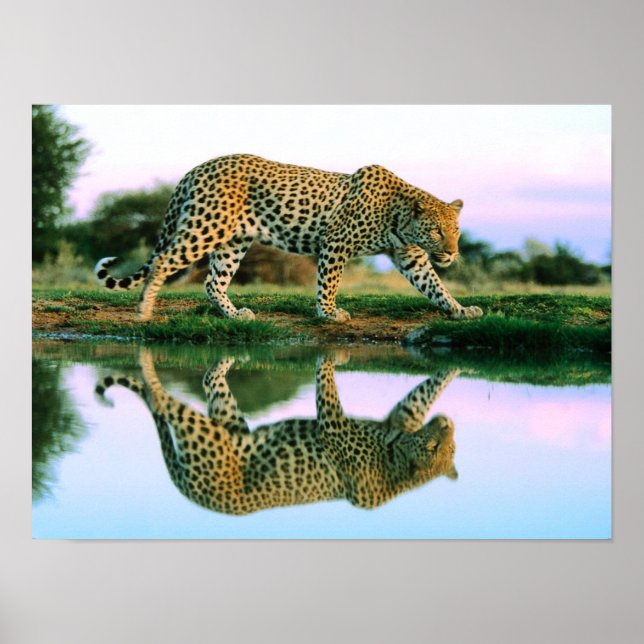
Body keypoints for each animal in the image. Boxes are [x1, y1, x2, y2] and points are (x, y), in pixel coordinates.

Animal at [94, 154, 483, 323]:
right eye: (436, 230)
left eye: (456, 231)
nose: (452, 253)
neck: (399, 216)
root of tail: (197, 168)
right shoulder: (336, 243)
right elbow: (328, 283)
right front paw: (329, 313)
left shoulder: (410, 257)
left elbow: (434, 285)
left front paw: (459, 309)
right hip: (205, 228)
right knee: (162, 261)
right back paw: (144, 310)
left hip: (233, 241)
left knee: (212, 281)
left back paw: (234, 315)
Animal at [95, 348, 459, 515]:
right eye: (434, 448)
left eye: (450, 448)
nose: (448, 424)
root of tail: (195, 496)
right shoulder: (336, 426)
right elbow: (326, 386)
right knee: (164, 400)